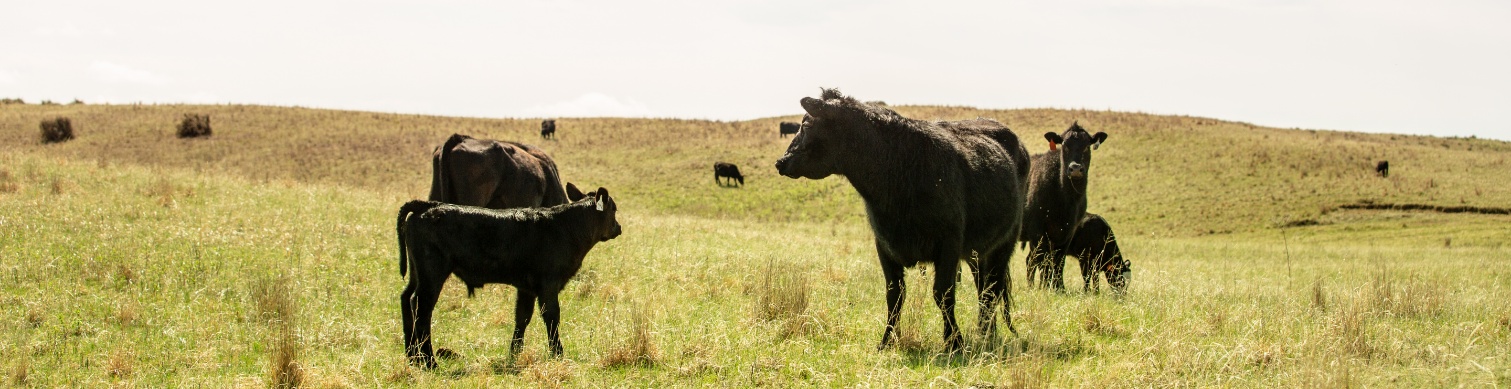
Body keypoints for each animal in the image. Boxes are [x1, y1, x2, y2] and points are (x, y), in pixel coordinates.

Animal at [395, 182, 625, 366]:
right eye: (613, 209)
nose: (619, 228)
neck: (566, 227)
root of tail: (429, 206)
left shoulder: (526, 288)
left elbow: (522, 317)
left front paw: (514, 353)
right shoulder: (548, 284)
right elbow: (552, 317)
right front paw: (557, 353)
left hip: (417, 273)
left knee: (406, 299)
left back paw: (412, 357)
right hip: (432, 274)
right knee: (421, 306)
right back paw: (428, 361)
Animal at [773, 88, 1033, 351]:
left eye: (806, 125)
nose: (780, 162)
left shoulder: (949, 244)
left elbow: (943, 294)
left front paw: (954, 341)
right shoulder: (884, 245)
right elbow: (894, 295)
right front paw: (886, 340)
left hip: (1004, 244)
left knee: (992, 289)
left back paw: (987, 333)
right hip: (976, 252)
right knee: (984, 287)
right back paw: (984, 330)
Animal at [1015, 122, 1112, 289]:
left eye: (1087, 146)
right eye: (1065, 145)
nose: (1075, 168)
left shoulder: (1068, 232)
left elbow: (1059, 262)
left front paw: (1059, 287)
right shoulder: (1038, 231)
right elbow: (1045, 262)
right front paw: (1044, 287)